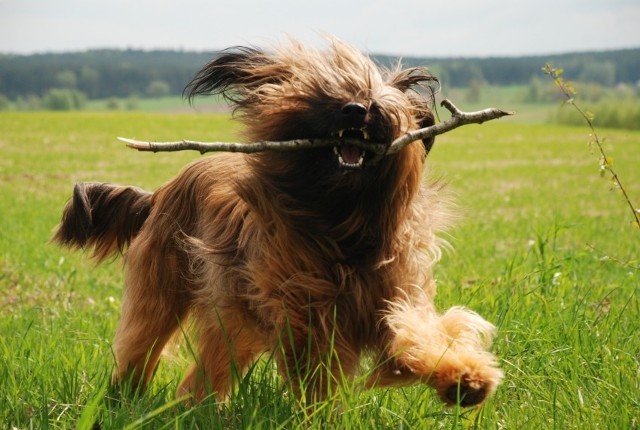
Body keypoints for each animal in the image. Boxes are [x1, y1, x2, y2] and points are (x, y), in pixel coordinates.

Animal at [52, 37, 502, 406]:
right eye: (326, 91)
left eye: (375, 99)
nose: (356, 109)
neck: (342, 224)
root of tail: (160, 192)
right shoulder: (303, 311)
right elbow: (316, 372)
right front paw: (319, 414)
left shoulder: (394, 293)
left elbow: (421, 333)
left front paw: (465, 379)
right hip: (162, 288)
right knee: (140, 345)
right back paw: (124, 399)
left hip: (232, 318)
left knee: (205, 370)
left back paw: (193, 408)